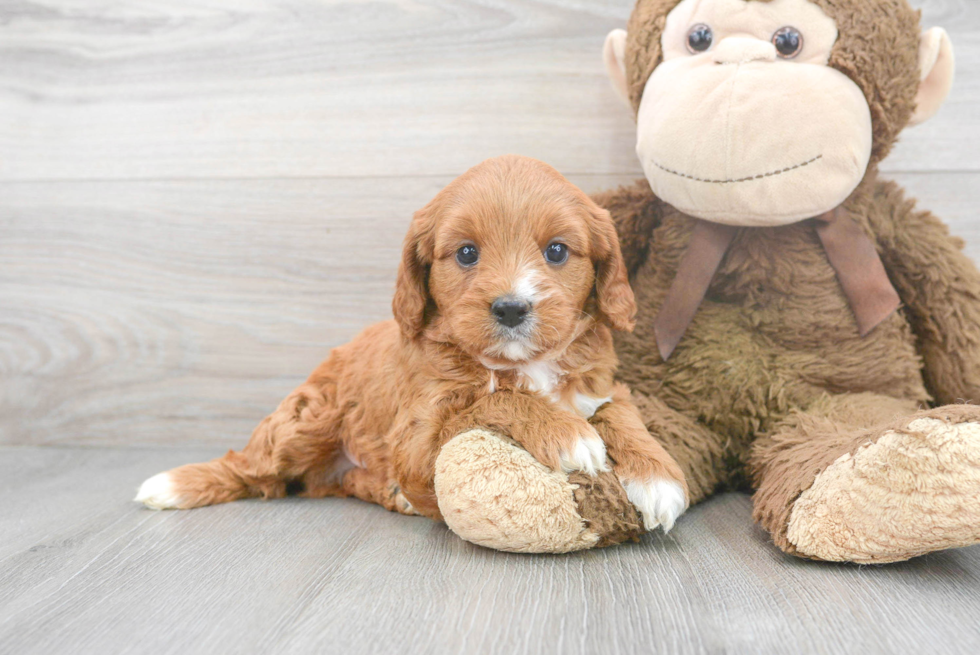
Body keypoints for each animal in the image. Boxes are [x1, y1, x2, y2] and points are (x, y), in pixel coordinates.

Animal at [138, 158, 688, 532]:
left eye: (557, 251)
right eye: (466, 253)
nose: (511, 308)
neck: (523, 364)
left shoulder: (600, 384)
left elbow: (620, 412)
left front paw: (658, 476)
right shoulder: (418, 440)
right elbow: (494, 401)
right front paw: (567, 434)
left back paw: (393, 495)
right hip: (306, 419)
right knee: (252, 467)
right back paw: (175, 485)